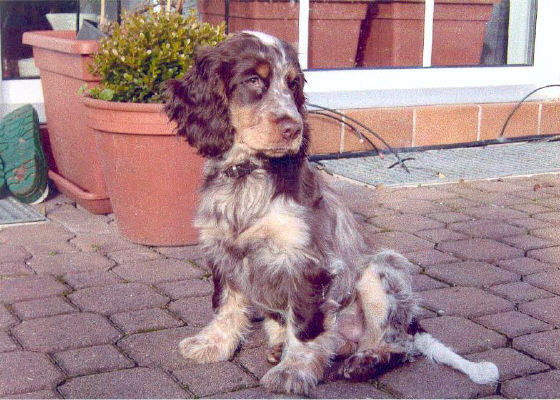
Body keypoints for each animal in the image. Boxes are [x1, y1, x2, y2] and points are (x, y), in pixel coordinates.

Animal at [164, 31, 499, 395]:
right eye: (253, 80)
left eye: (292, 85)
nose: (293, 129)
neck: (248, 173)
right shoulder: (224, 251)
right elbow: (226, 304)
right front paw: (213, 344)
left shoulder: (309, 264)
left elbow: (306, 326)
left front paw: (293, 372)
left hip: (378, 273)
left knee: (397, 344)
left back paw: (364, 361)